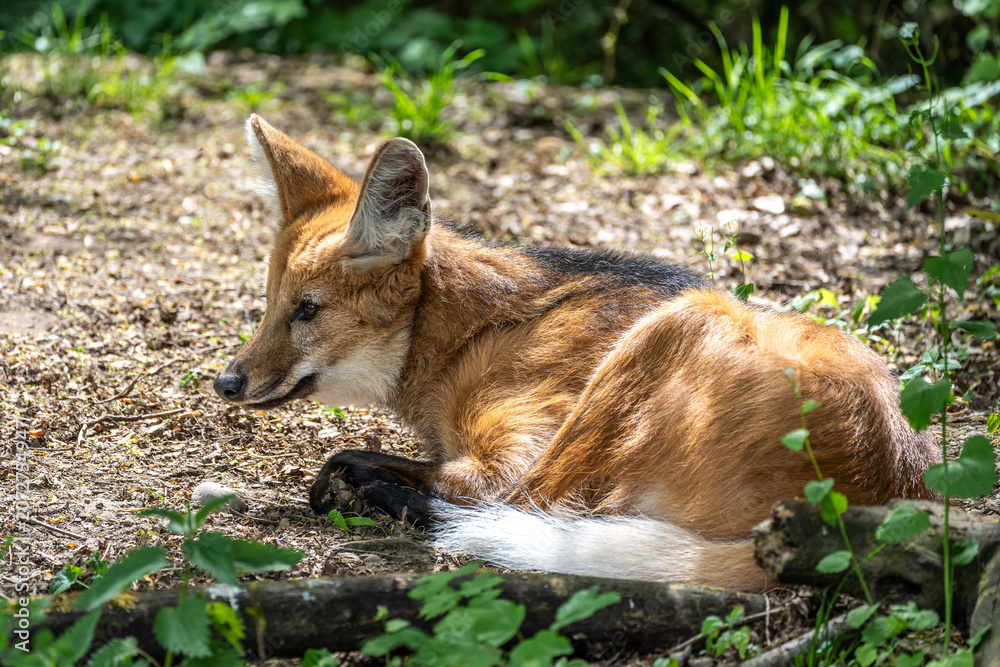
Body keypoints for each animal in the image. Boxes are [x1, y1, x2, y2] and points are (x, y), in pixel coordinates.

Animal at [213, 114, 937, 591]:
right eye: (271, 302)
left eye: (308, 310)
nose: (226, 382)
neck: (459, 333)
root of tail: (875, 487)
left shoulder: (507, 460)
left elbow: (380, 463)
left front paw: (348, 484)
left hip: (668, 334)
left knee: (529, 505)